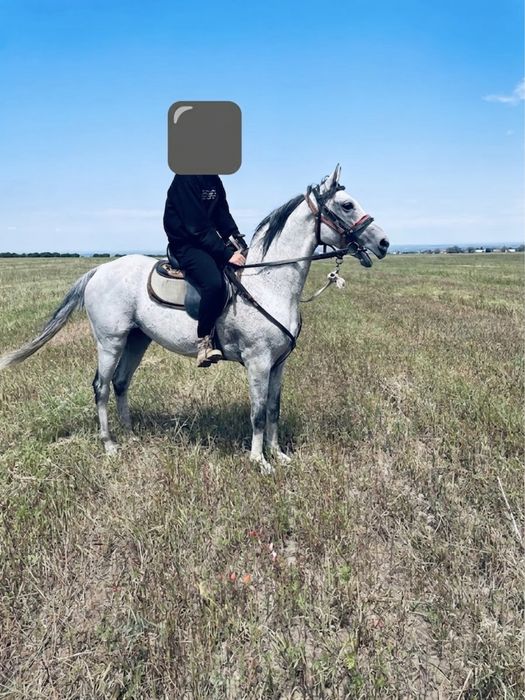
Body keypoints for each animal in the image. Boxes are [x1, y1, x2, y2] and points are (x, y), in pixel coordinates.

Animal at [0, 165, 389, 473]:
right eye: (347, 204)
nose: (384, 242)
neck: (268, 281)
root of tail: (98, 270)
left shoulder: (278, 364)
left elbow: (274, 409)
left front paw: (279, 455)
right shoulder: (258, 362)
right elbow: (258, 412)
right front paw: (259, 461)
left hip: (137, 340)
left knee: (121, 383)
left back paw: (131, 436)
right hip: (110, 341)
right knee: (101, 386)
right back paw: (109, 444)